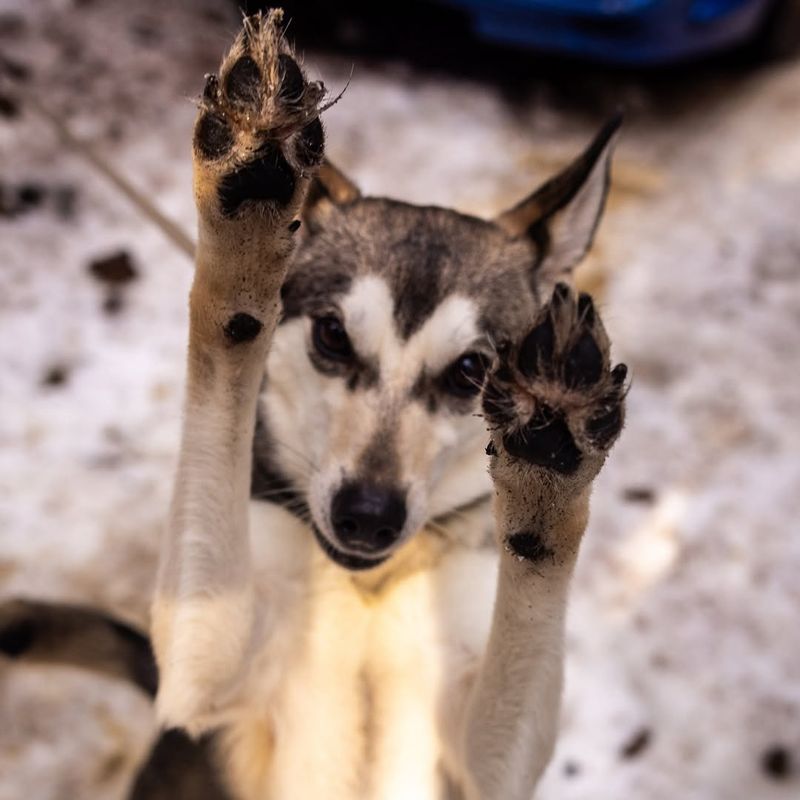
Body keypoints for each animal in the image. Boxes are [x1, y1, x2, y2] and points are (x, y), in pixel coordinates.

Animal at [0, 7, 624, 800]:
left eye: (471, 371)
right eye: (331, 334)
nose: (367, 515)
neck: (367, 587)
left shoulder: (490, 755)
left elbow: (534, 589)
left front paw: (549, 463)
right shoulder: (203, 661)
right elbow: (224, 344)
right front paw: (244, 218)